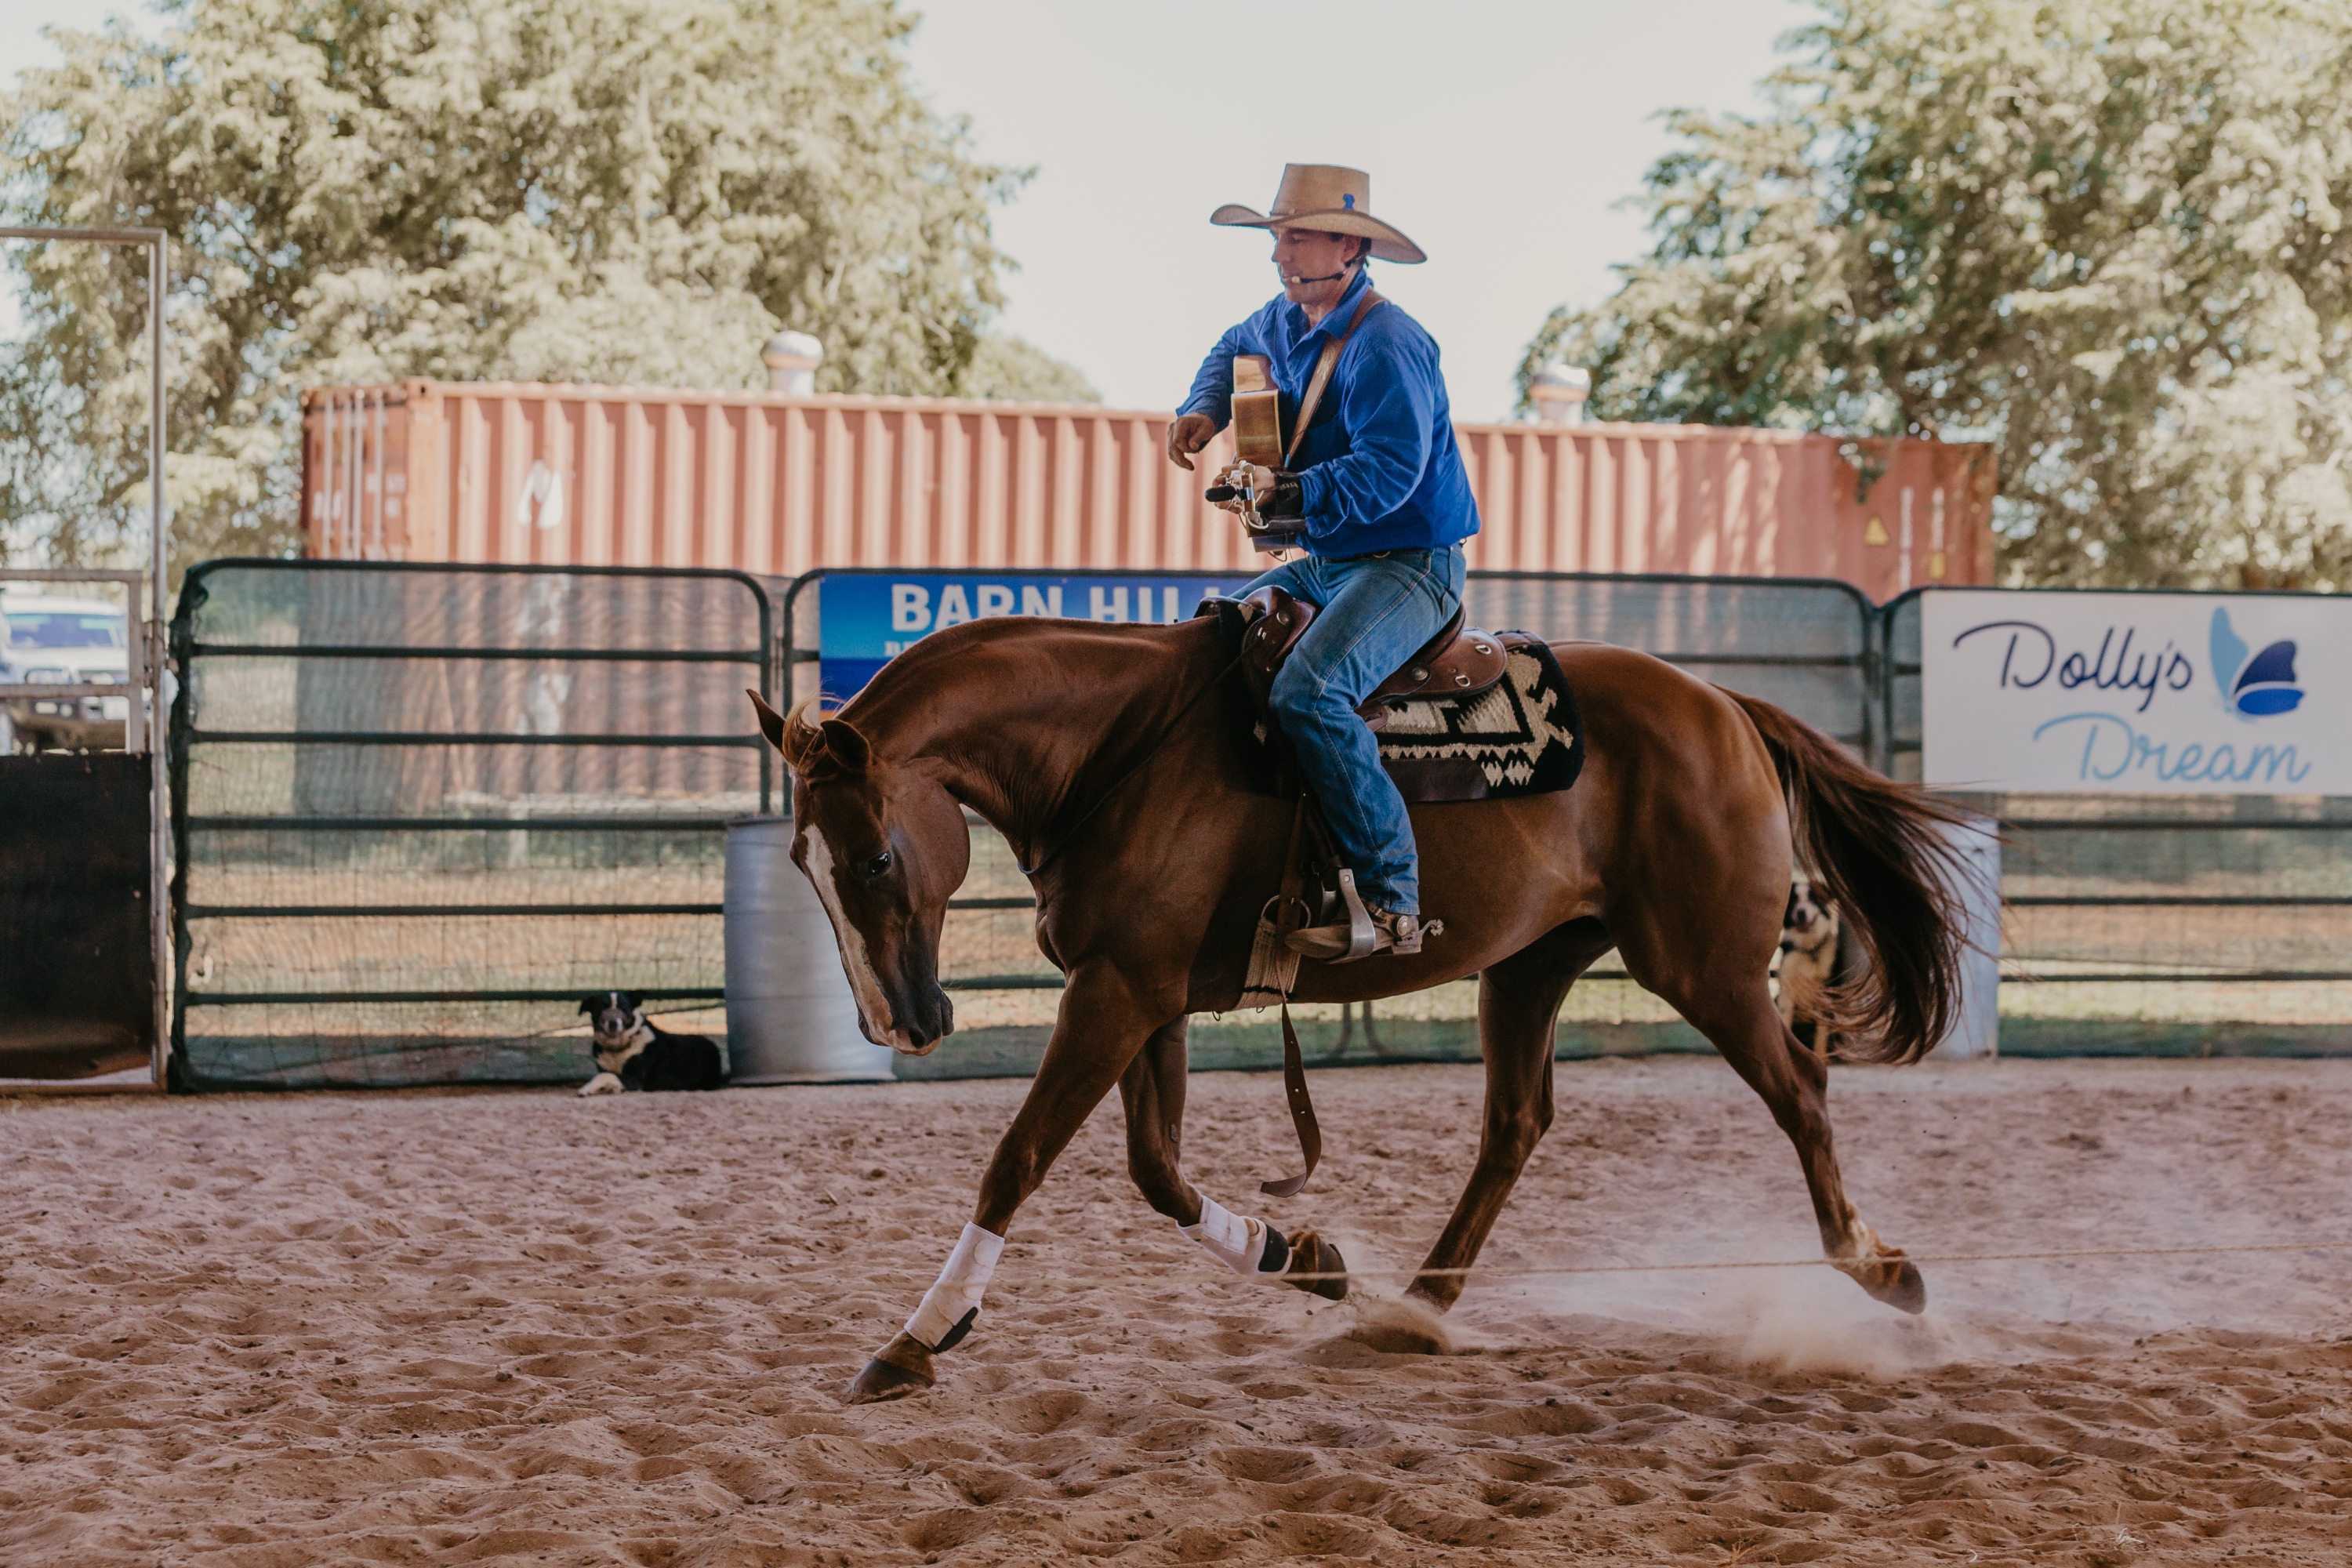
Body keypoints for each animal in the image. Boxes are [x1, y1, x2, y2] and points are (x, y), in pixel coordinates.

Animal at [576, 1001, 724, 1100]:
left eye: (623, 1008)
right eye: (600, 1007)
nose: (613, 1023)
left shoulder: (636, 1080)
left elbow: (605, 1076)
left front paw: (586, 1089)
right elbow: (607, 1076)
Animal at [1769, 879, 1844, 1062]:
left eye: (1813, 898)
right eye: (1794, 900)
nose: (1801, 913)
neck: (1809, 949)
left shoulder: (1827, 992)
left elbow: (1822, 1031)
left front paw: (1821, 1056)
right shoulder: (1786, 992)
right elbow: (1785, 1023)